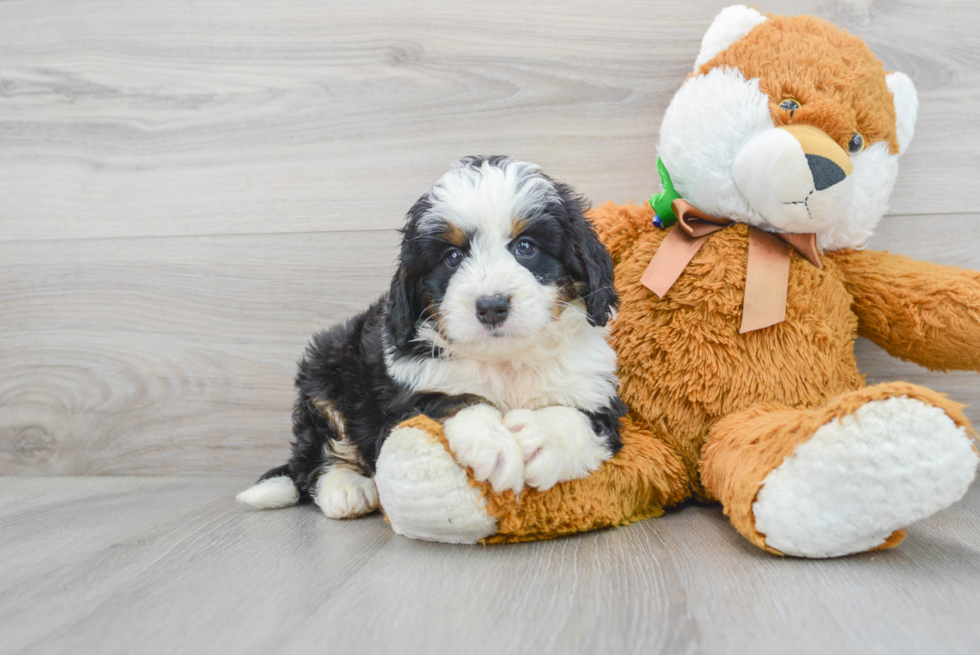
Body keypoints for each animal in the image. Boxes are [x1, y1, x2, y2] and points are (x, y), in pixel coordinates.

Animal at [235, 156, 628, 520]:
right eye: (452, 257)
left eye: (526, 247)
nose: (491, 306)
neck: (505, 360)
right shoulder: (402, 401)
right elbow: (456, 399)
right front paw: (494, 444)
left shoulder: (596, 393)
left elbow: (579, 419)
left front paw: (539, 440)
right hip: (325, 375)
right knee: (316, 458)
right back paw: (347, 489)